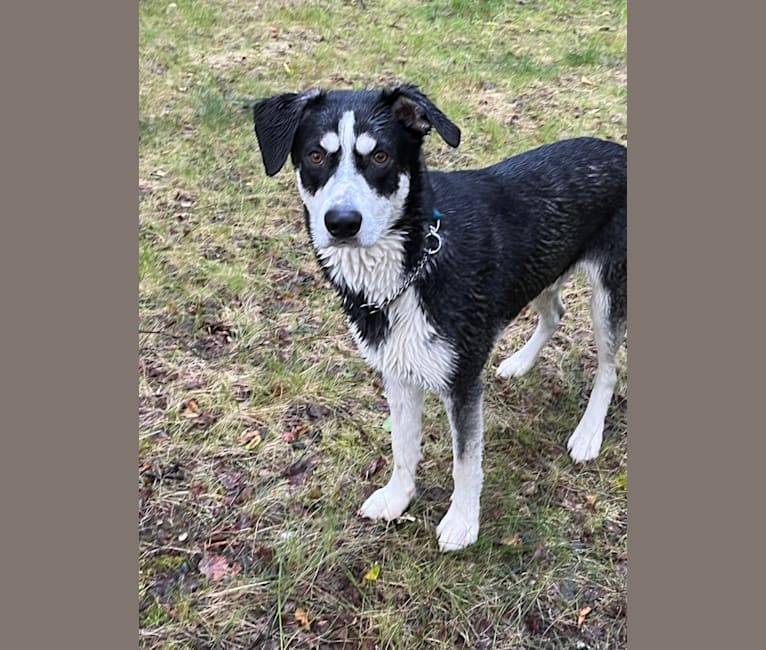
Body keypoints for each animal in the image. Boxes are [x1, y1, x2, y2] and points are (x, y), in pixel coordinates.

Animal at [255, 83, 628, 548]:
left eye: (381, 157)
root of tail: (622, 151)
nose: (342, 222)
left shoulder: (463, 379)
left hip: (608, 291)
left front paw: (463, 522)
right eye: (315, 156)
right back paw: (520, 362)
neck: (411, 262)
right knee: (555, 313)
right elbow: (402, 446)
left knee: (609, 368)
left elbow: (466, 461)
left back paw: (588, 433)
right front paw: (397, 497)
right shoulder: (397, 370)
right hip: (542, 268)